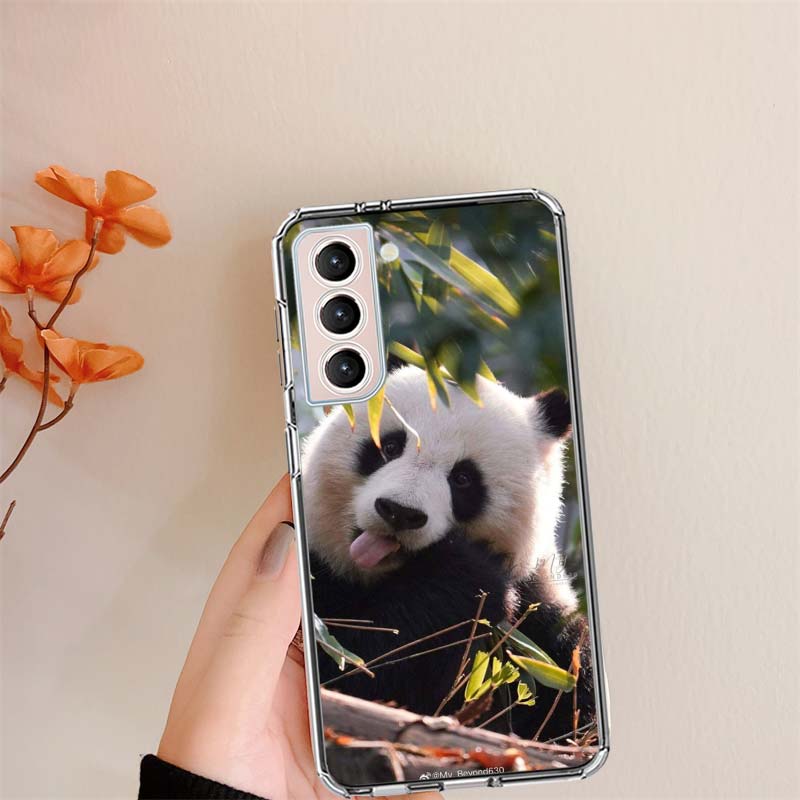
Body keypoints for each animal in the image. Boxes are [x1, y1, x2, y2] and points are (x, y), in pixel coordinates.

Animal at [302, 365, 593, 740]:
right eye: (390, 446)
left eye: (463, 478)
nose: (399, 512)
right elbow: (355, 670)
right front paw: (465, 574)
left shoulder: (541, 627)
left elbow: (571, 697)